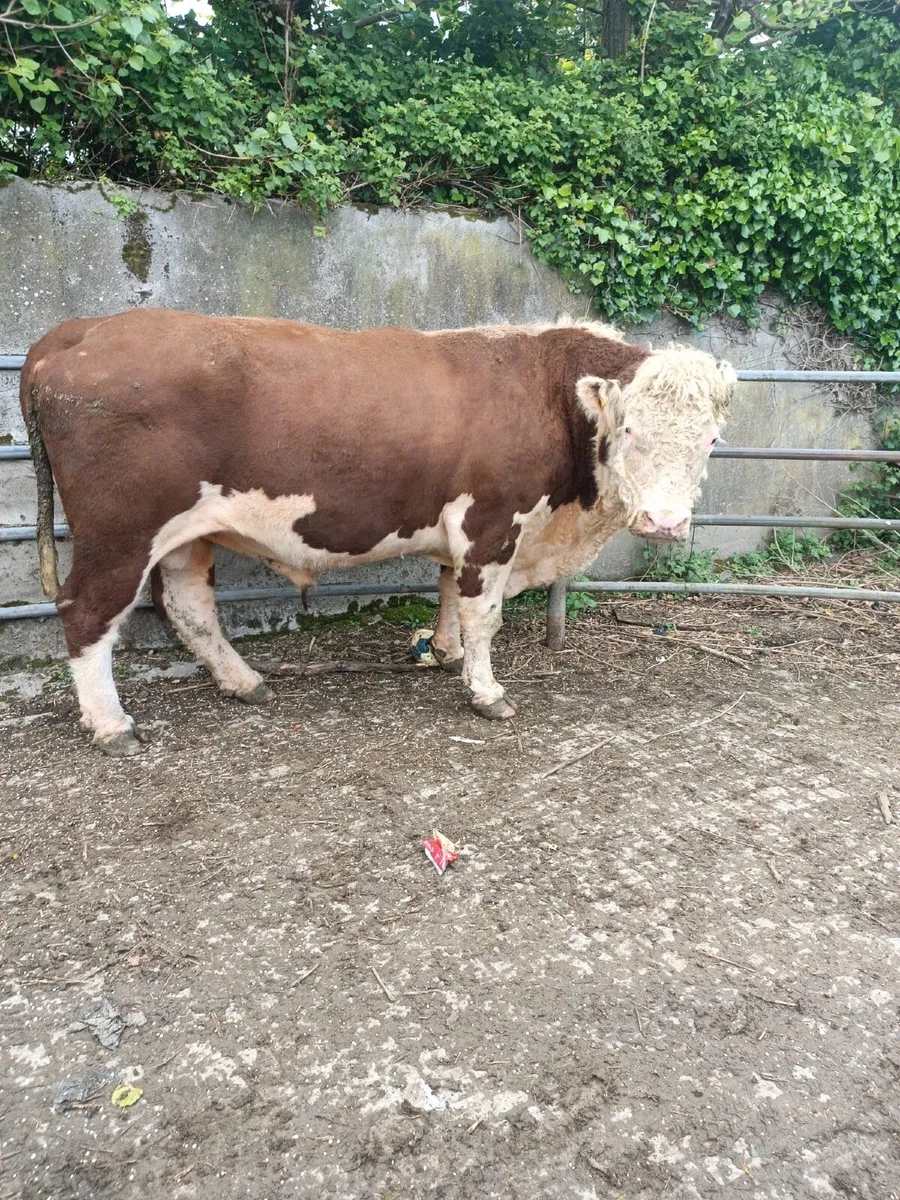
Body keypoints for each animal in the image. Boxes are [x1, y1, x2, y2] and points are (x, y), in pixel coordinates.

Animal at [21, 309, 734, 755]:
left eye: (710, 439)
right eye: (630, 430)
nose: (666, 522)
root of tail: (76, 333)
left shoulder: (462, 532)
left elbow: (447, 594)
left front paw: (443, 653)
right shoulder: (491, 523)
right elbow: (484, 614)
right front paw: (485, 690)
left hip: (185, 533)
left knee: (190, 608)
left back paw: (244, 682)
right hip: (120, 532)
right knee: (86, 612)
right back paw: (113, 725)